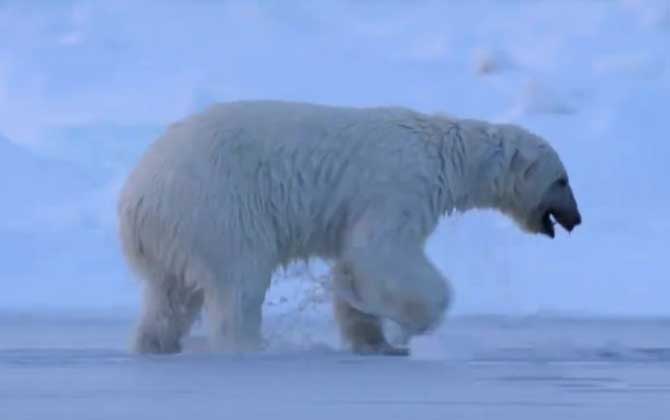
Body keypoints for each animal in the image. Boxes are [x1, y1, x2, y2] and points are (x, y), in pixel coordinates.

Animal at [119, 100, 584, 356]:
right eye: (562, 180)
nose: (577, 219)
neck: (444, 155)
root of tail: (136, 199)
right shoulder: (398, 187)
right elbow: (381, 253)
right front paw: (412, 324)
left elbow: (353, 262)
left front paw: (371, 336)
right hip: (217, 209)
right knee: (238, 284)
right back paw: (247, 346)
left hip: (175, 235)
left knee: (169, 299)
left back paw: (154, 344)